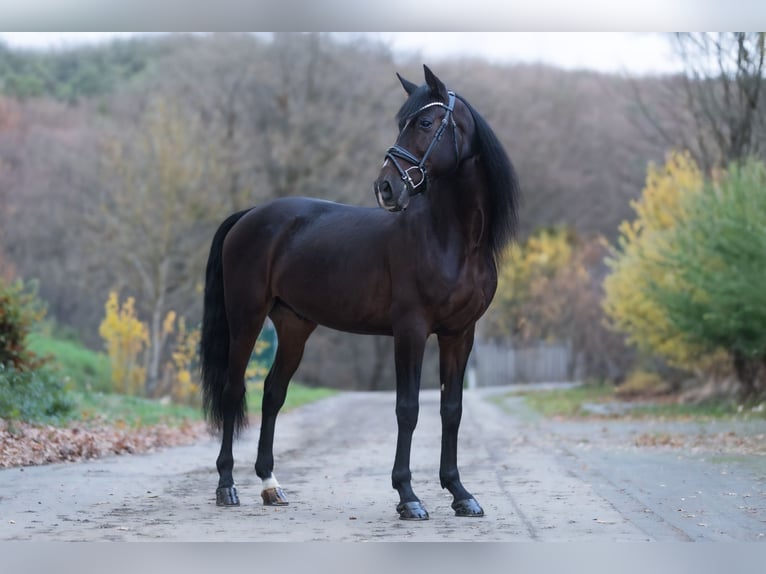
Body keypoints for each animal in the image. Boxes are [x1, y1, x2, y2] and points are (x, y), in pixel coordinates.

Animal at [199, 65, 520, 520]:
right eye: (401, 122)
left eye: (425, 123)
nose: (385, 187)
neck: (452, 240)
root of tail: (249, 216)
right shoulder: (411, 332)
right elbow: (408, 409)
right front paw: (408, 497)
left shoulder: (460, 334)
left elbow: (451, 410)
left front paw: (460, 494)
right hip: (246, 319)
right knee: (232, 391)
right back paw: (227, 487)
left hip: (294, 325)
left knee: (272, 394)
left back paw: (270, 485)